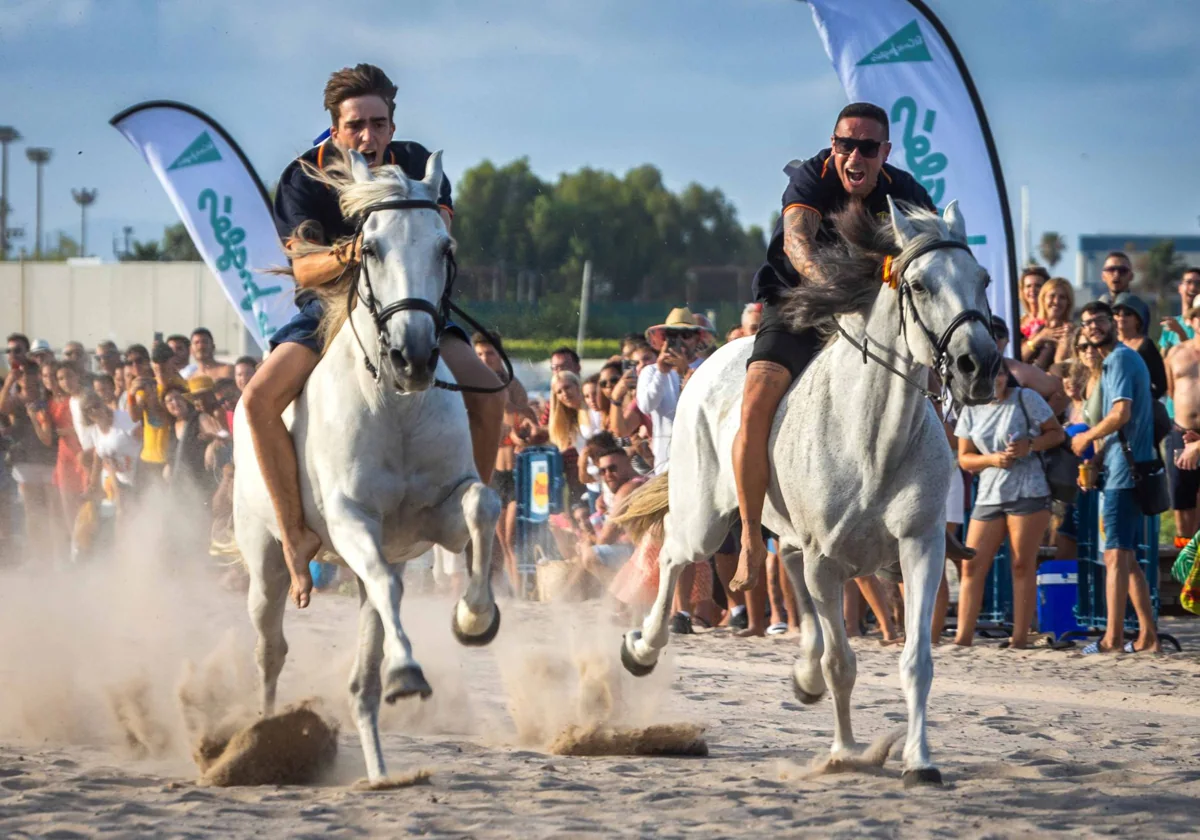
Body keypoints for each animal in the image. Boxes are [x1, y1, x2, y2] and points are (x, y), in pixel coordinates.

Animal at [234, 149, 501, 782]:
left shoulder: (439, 518)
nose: (414, 357)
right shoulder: (352, 520)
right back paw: (263, 738)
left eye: (444, 248)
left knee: (362, 680)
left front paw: (474, 617)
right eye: (371, 247)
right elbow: (384, 581)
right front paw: (408, 672)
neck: (395, 407)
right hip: (264, 560)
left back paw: (380, 773)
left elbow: (484, 505)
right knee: (270, 648)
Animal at [614, 198, 998, 787]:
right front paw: (843, 751)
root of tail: (707, 362)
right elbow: (843, 663)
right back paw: (643, 647)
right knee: (677, 554)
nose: (979, 366)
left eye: (983, 279)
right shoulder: (827, 561)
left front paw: (919, 761)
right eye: (920, 285)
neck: (874, 437)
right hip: (707, 521)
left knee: (786, 566)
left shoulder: (921, 547)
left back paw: (804, 673)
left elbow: (916, 660)